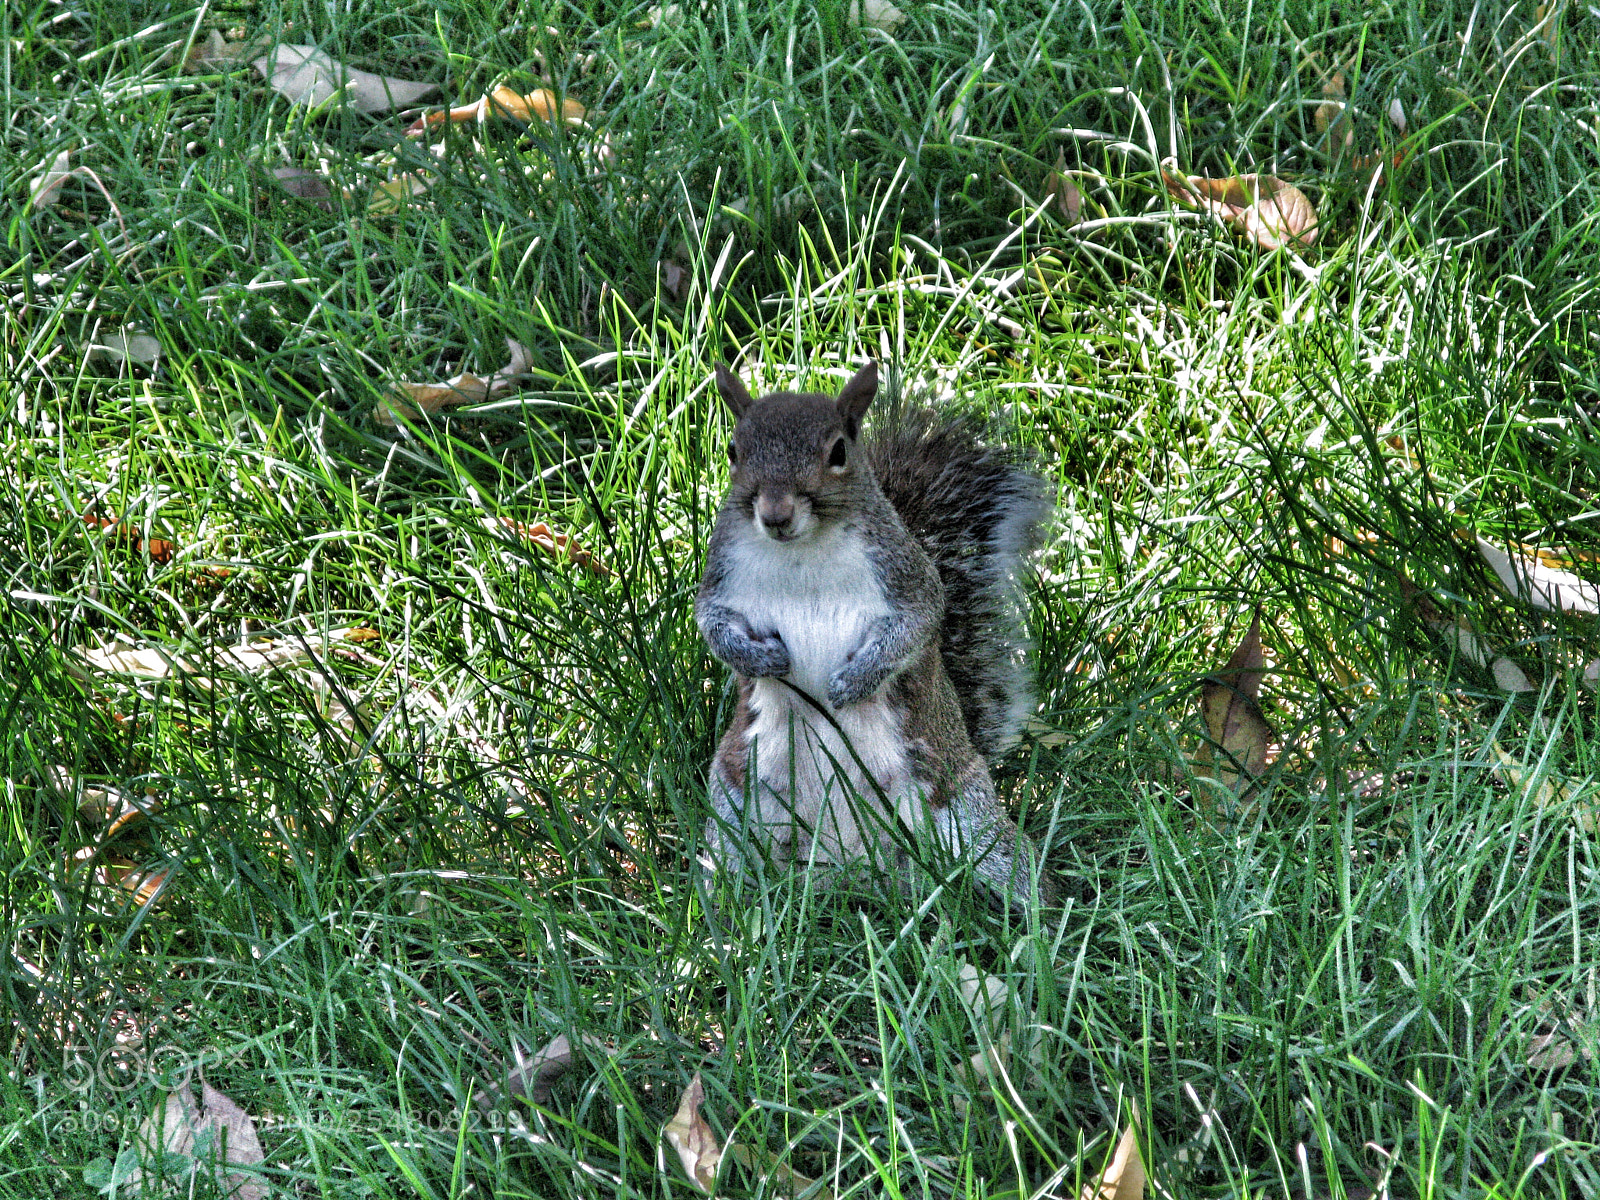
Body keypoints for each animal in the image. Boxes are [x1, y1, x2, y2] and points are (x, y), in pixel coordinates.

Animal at [695, 360, 1057, 909]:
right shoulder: (720, 581)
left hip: (968, 818)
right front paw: (762, 661)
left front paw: (855, 682)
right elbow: (713, 627)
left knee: (1011, 872)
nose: (776, 516)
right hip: (736, 807)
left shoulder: (906, 577)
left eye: (838, 452)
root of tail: (855, 870)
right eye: (734, 451)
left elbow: (916, 625)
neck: (801, 551)